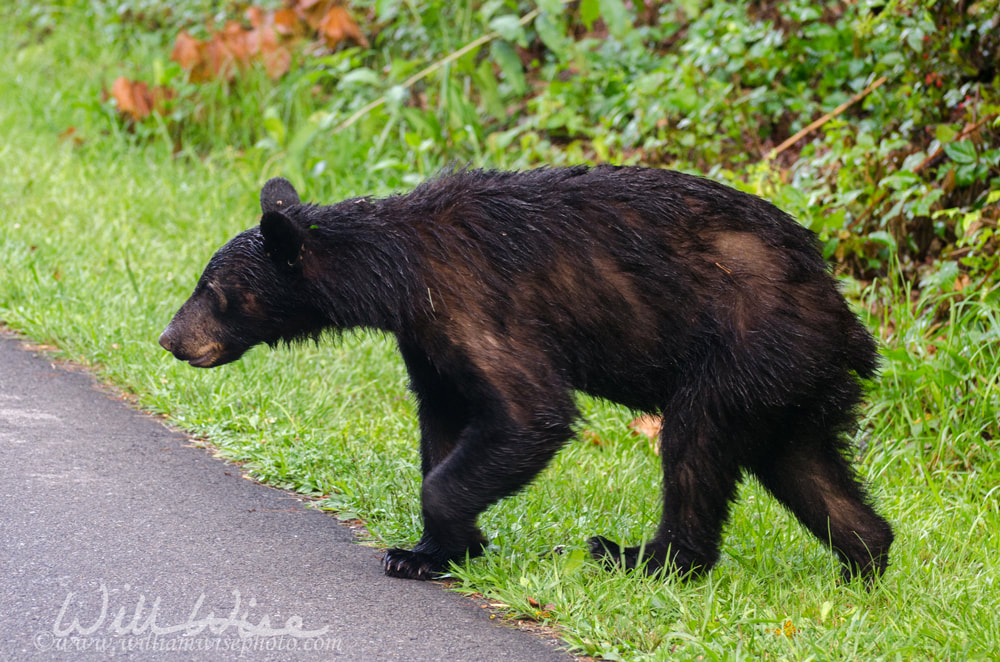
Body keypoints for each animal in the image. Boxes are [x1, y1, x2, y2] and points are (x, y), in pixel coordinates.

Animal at [160, 167, 896, 588]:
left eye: (213, 292)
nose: (169, 339)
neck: (398, 271)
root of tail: (850, 325)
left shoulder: (474, 300)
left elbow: (529, 409)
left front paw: (448, 538)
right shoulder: (427, 337)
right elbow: (445, 412)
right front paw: (430, 551)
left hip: (741, 351)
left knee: (695, 446)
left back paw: (641, 559)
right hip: (787, 388)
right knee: (805, 467)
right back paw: (865, 564)